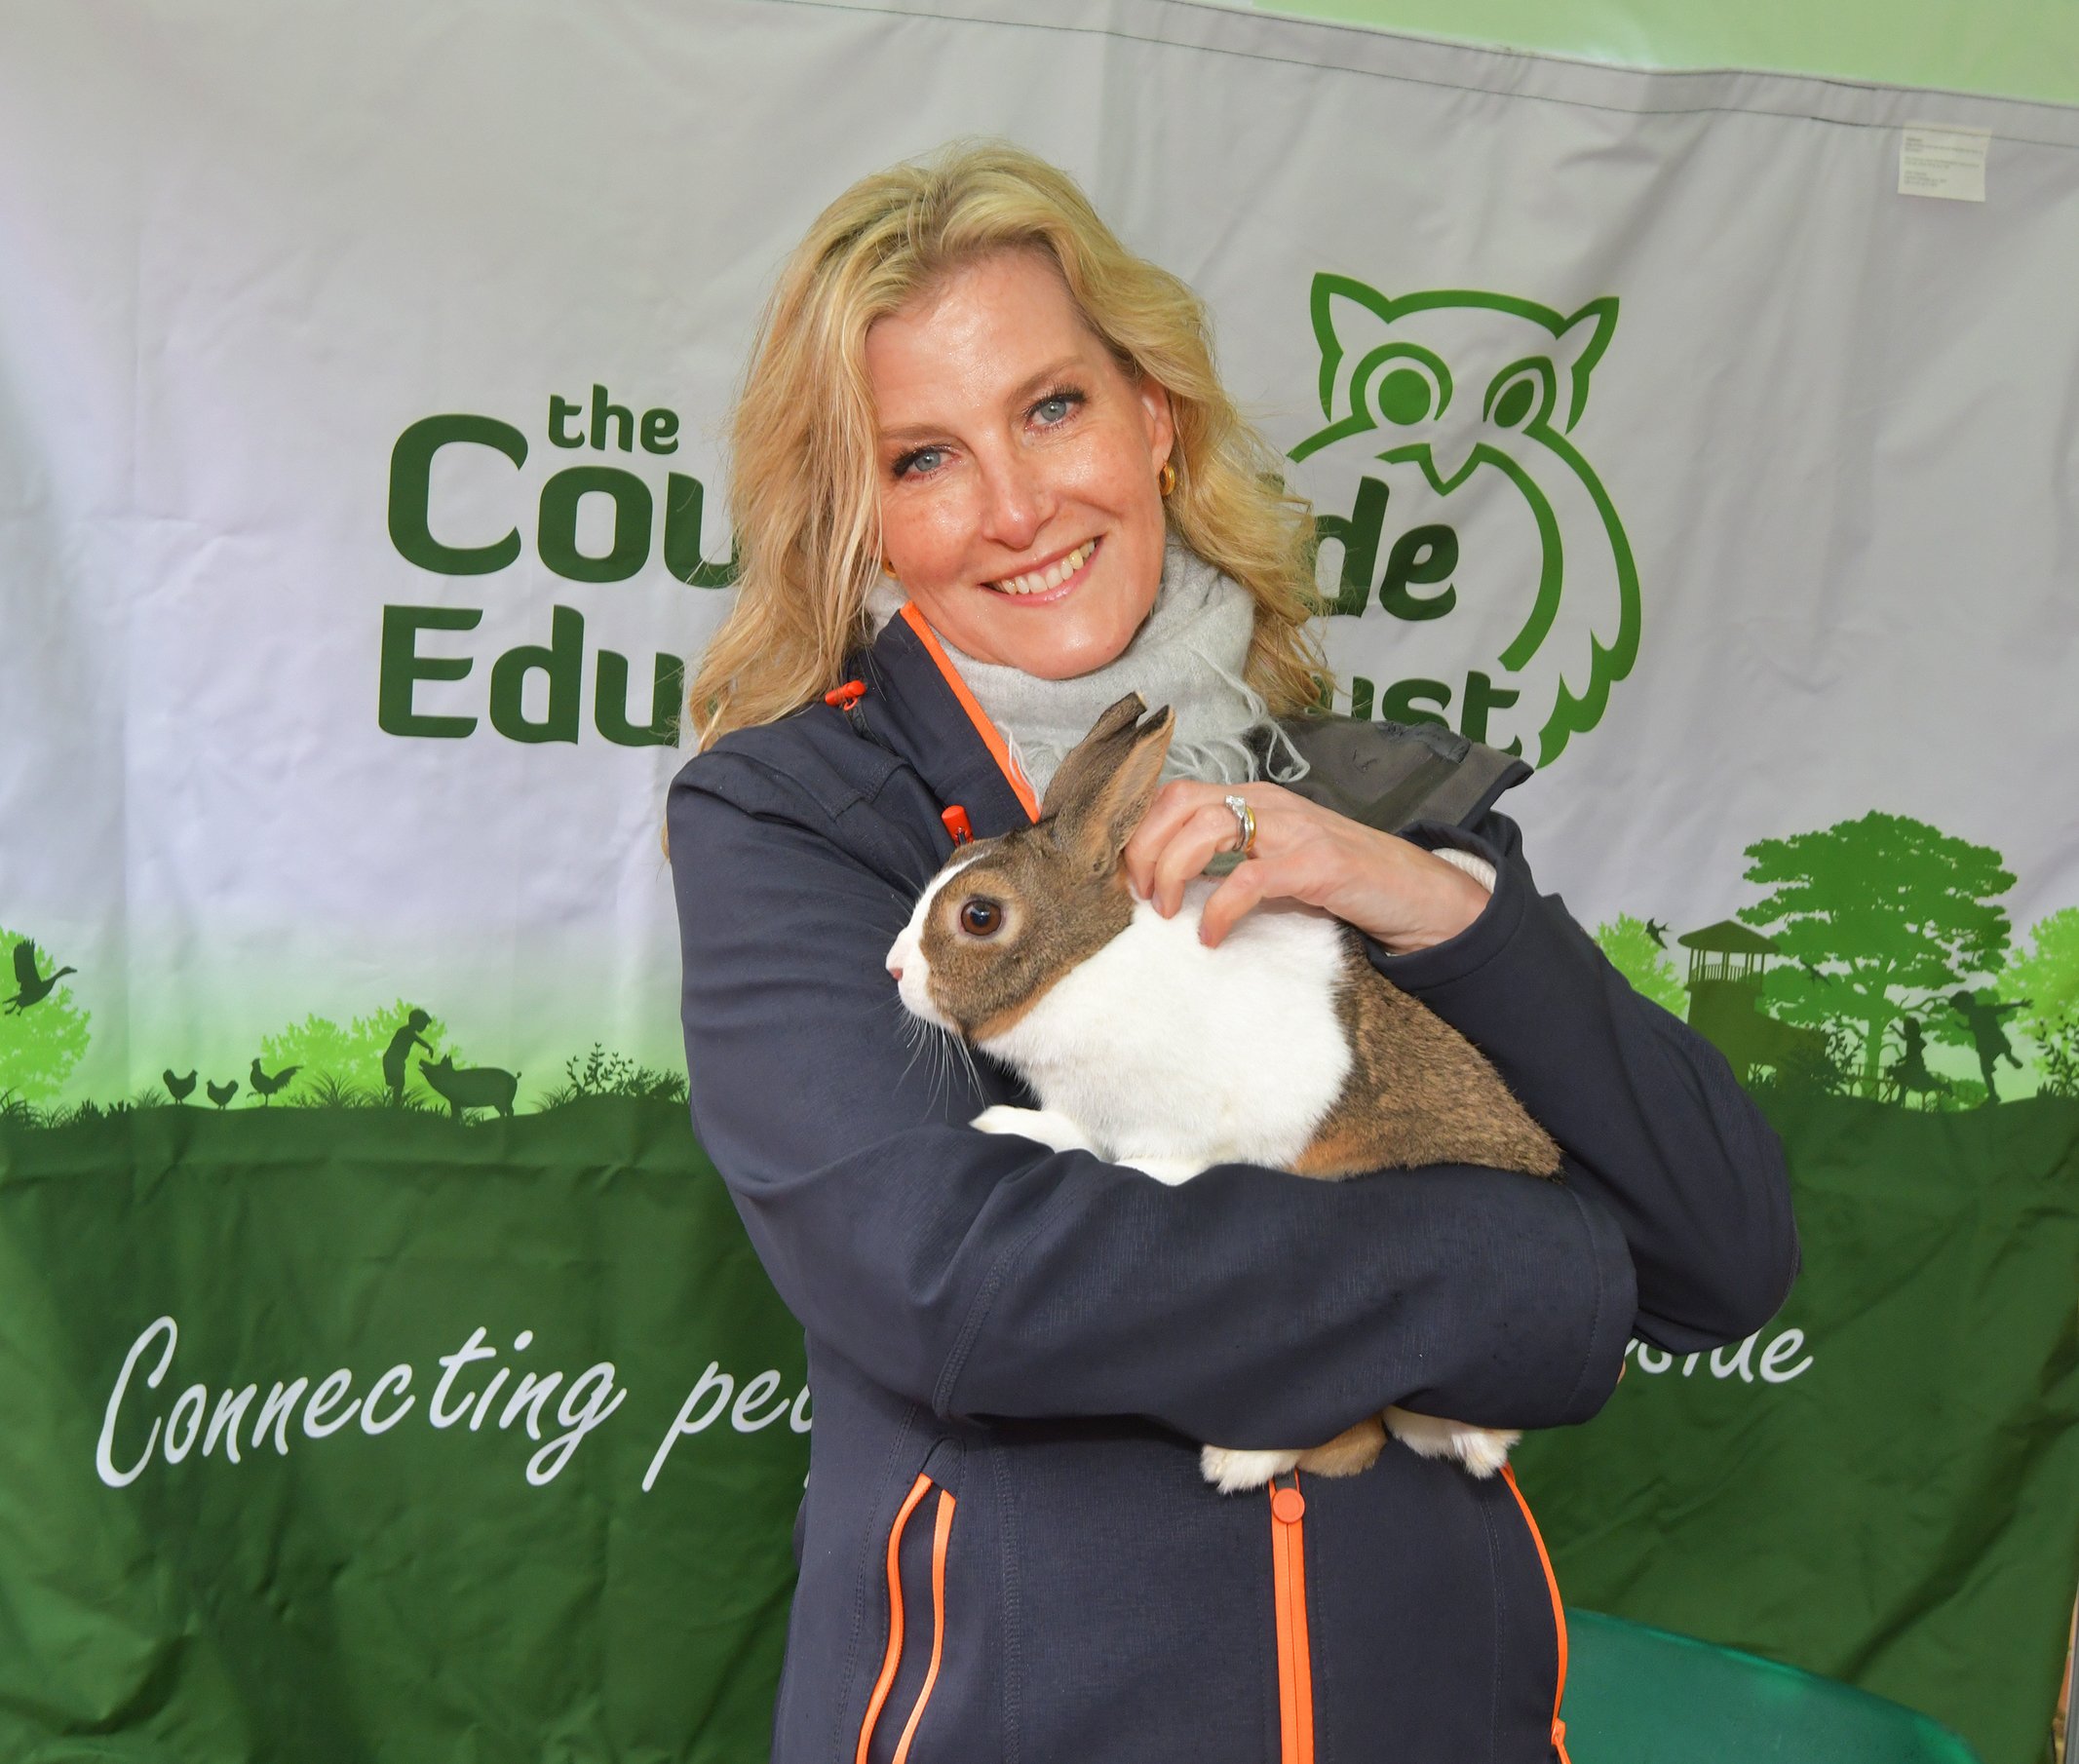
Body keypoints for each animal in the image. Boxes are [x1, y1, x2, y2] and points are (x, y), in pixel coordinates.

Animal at [885, 689, 1563, 1487]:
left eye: (980, 915)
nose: (895, 970)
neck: (1081, 965)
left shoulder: (1198, 1129)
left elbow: (1152, 1161)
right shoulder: (1082, 1107)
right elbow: (1068, 1130)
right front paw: (1004, 1125)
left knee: (1346, 1430)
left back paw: (1235, 1462)